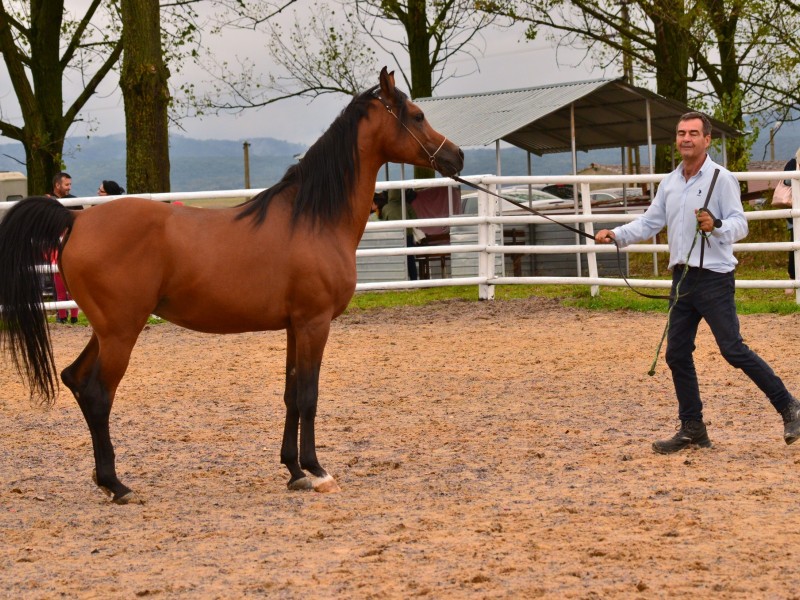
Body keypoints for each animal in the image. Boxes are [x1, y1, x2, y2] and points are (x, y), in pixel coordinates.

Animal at [0, 67, 464, 504]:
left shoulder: (295, 326)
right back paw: (118, 485)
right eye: (417, 115)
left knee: (75, 379)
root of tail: (76, 220)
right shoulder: (315, 323)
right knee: (98, 395)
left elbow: (291, 395)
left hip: (106, 329)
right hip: (120, 333)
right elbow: (309, 396)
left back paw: (104, 481)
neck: (312, 218)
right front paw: (317, 471)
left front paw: (294, 471)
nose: (456, 156)